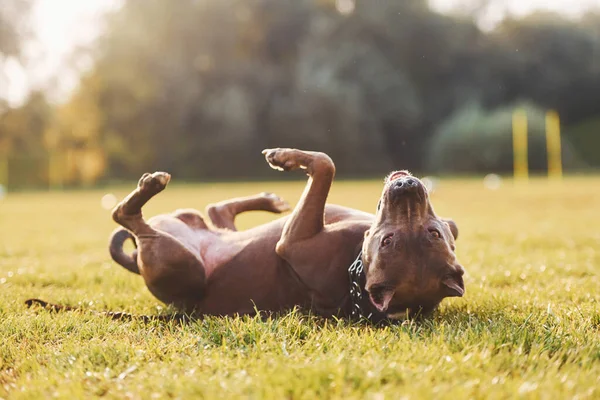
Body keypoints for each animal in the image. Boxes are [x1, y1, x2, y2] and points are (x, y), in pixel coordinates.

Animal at [109, 148, 464, 322]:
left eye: (389, 241)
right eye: (435, 232)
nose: (407, 186)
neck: (355, 270)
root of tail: (136, 259)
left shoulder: (293, 240)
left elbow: (326, 165)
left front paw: (283, 156)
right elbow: (325, 166)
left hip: (181, 262)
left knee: (125, 217)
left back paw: (150, 187)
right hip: (200, 224)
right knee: (215, 210)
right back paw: (269, 200)